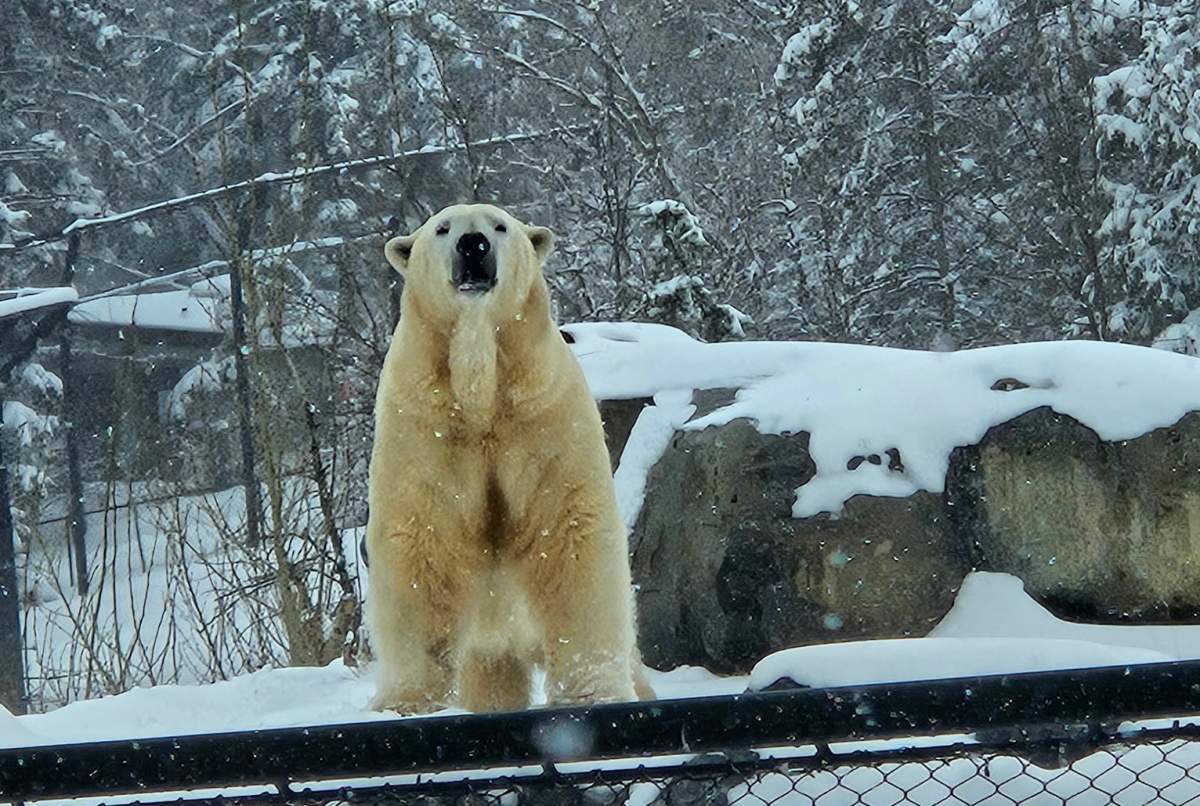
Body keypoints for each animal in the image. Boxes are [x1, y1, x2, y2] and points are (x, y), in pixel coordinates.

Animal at [366, 203, 651, 714]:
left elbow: (568, 533)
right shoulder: (420, 427)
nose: (473, 245)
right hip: (490, 643)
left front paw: (593, 693)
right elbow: (422, 545)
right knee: (492, 679)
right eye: (443, 228)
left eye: (499, 225)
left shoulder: (545, 415)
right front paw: (406, 701)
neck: (483, 397)